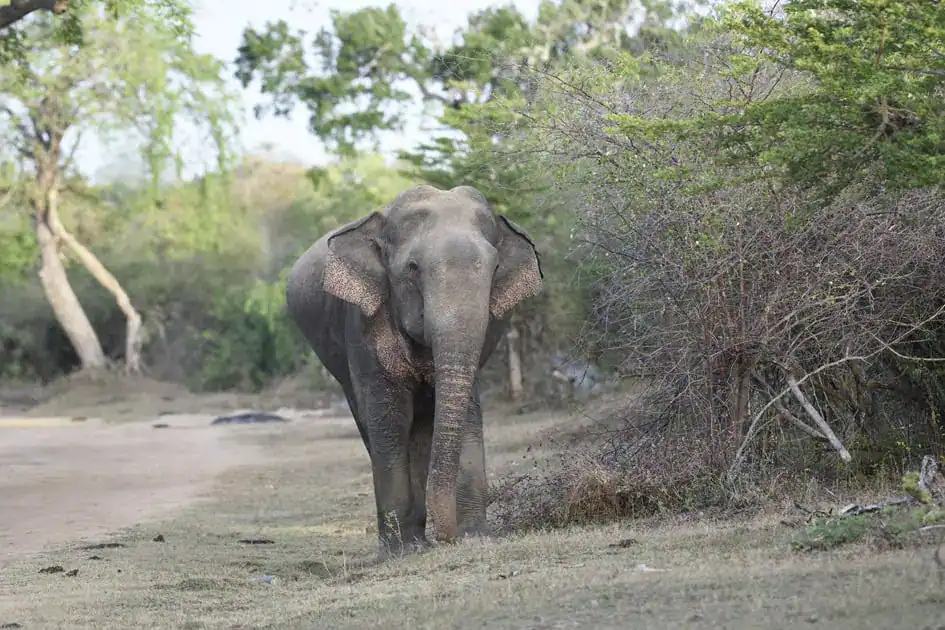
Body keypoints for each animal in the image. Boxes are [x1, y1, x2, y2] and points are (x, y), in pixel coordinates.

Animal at [285, 184, 543, 557]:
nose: (449, 537)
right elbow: (390, 419)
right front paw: (402, 553)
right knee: (372, 422)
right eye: (413, 267)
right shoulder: (364, 322)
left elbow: (466, 414)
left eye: (495, 268)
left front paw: (476, 537)